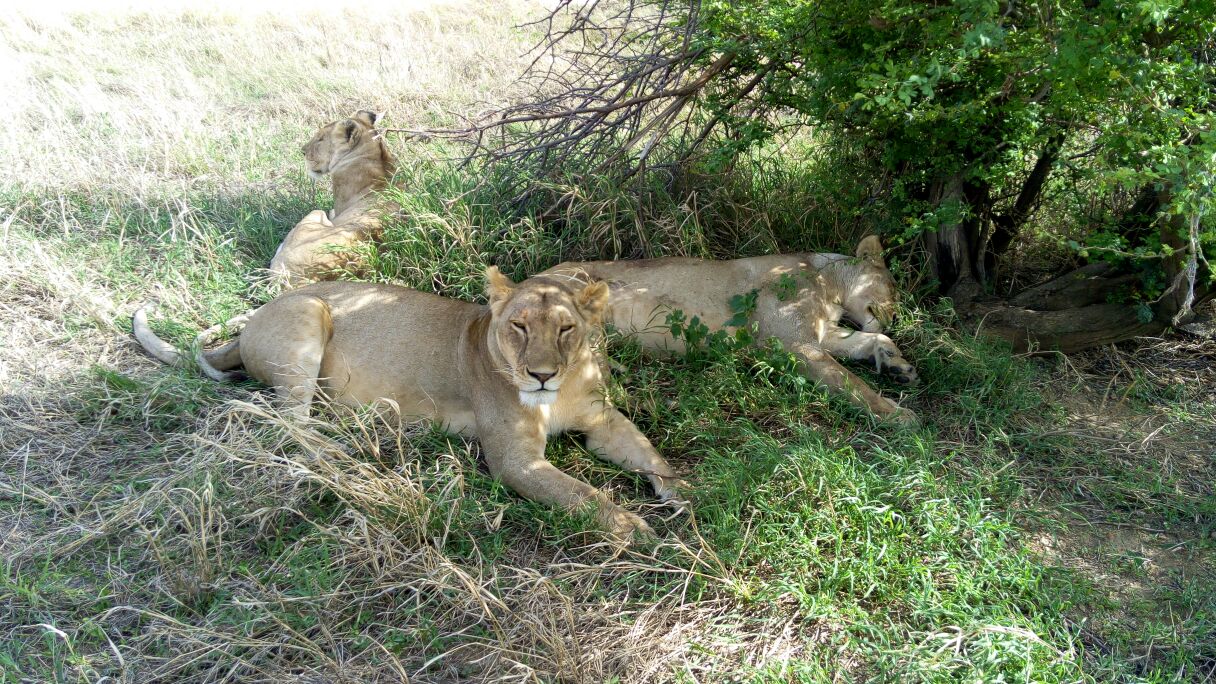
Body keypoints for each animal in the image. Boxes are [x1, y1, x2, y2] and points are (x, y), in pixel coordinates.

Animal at [133, 268, 683, 538]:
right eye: (519, 326)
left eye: (567, 328)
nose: (541, 375)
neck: (561, 392)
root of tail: (249, 323)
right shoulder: (515, 461)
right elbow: (580, 495)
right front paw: (633, 528)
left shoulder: (601, 419)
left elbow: (650, 452)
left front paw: (686, 492)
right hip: (308, 312)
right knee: (289, 427)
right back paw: (345, 454)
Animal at [541, 236, 919, 424]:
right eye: (893, 288)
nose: (897, 315)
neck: (829, 286)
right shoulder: (792, 344)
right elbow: (850, 382)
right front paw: (896, 415)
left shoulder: (821, 334)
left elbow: (873, 338)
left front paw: (898, 365)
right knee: (602, 391)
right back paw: (668, 406)